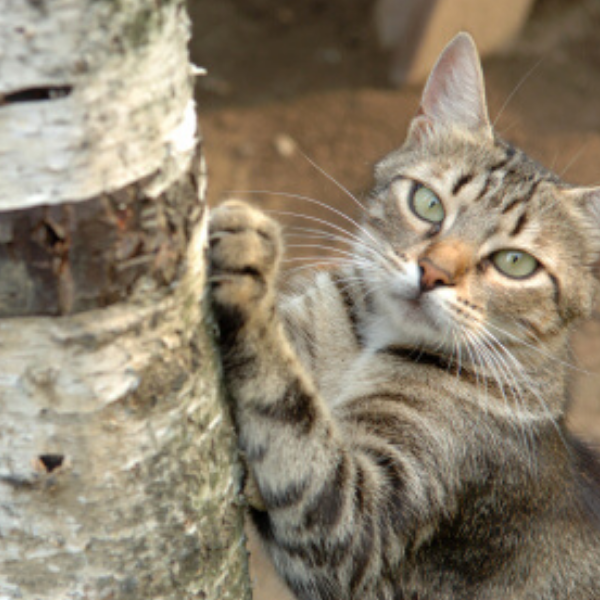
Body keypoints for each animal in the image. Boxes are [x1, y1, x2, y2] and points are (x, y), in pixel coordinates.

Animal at [207, 34, 600, 600]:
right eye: (427, 203)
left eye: (515, 262)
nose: (433, 272)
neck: (368, 344)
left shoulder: (354, 523)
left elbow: (288, 412)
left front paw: (248, 261)